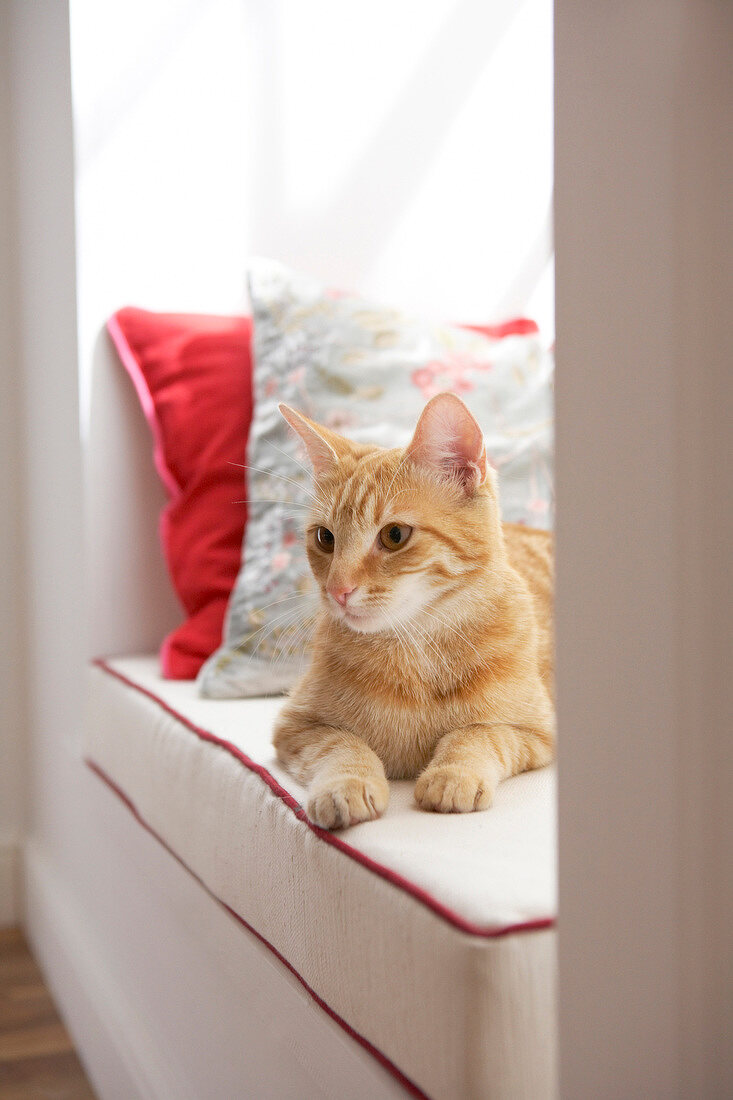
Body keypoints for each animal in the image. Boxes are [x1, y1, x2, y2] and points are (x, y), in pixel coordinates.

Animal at [270, 391, 550, 827]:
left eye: (395, 535)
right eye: (325, 538)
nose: (337, 590)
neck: (416, 645)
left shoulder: (535, 731)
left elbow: (478, 733)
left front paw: (453, 774)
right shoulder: (295, 726)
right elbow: (341, 744)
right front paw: (346, 783)